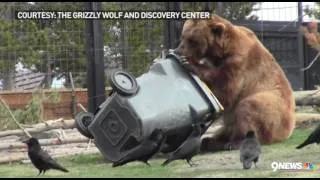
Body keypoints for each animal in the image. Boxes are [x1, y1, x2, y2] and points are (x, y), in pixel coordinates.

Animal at [175, 14, 296, 151]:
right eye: (182, 36)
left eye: (193, 40)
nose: (178, 51)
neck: (223, 50)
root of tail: (289, 129)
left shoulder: (240, 62)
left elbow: (225, 91)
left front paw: (189, 63)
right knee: (226, 129)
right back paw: (211, 141)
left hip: (274, 109)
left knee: (248, 108)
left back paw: (234, 142)